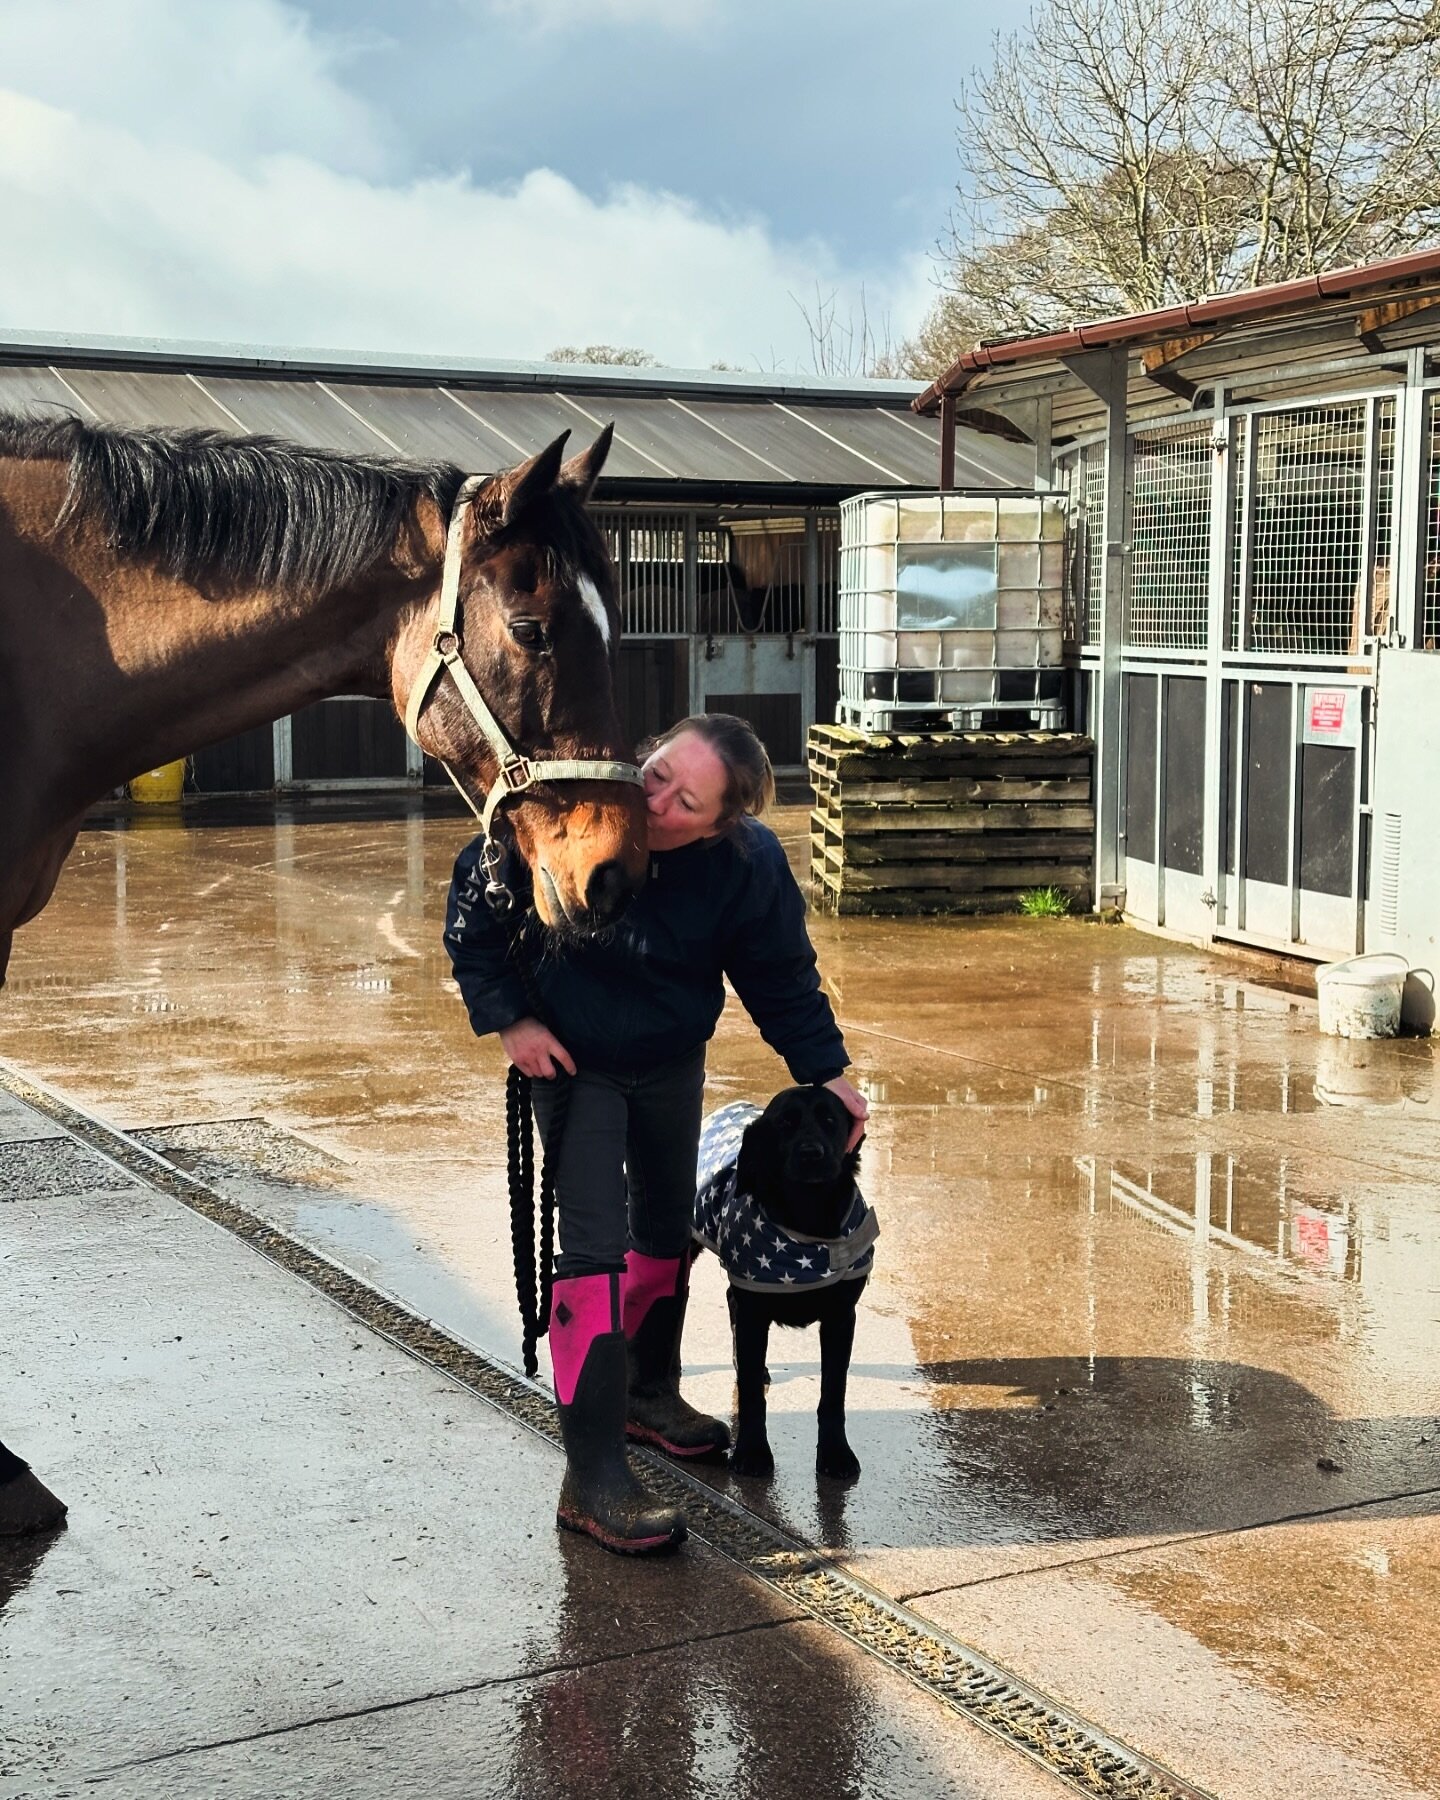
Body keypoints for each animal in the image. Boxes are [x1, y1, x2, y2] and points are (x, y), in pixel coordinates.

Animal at [691, 1087, 871, 1483]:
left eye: (830, 1119)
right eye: (785, 1124)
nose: (810, 1153)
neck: (806, 1217)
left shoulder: (841, 1319)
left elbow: (833, 1394)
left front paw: (836, 1454)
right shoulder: (754, 1314)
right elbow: (751, 1398)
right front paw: (752, 1452)